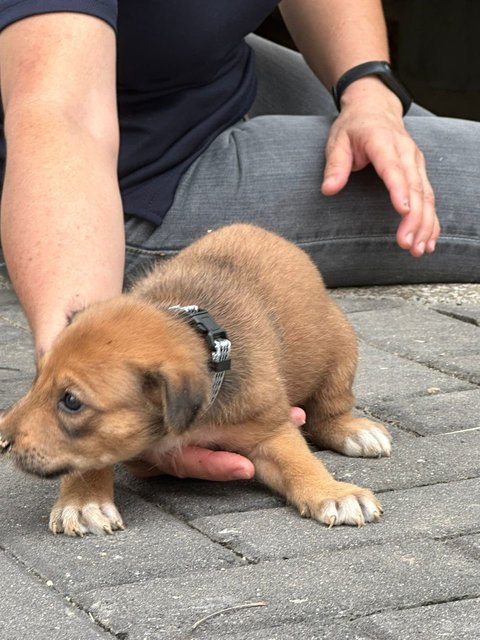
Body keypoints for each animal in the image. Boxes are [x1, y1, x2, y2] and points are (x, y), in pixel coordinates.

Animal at [0, 225, 390, 536]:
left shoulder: (268, 428)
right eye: (37, 378)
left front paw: (333, 493)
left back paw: (354, 431)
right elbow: (88, 457)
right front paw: (83, 502)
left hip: (340, 351)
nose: (1, 439)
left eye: (71, 401)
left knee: (328, 411)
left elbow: (300, 462)